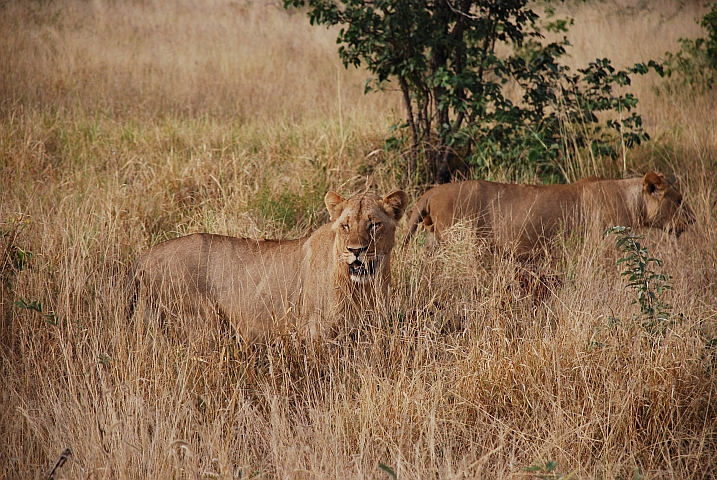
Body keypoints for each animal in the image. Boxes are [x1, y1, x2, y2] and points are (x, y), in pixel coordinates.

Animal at [129, 189, 408, 344]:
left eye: (374, 225)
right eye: (345, 225)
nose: (355, 251)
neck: (363, 288)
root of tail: (142, 257)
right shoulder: (316, 331)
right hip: (201, 323)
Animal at [402, 171, 692, 256]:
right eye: (679, 200)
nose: (693, 219)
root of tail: (431, 192)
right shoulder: (604, 247)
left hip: (434, 242)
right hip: (461, 243)